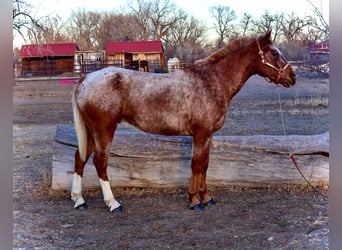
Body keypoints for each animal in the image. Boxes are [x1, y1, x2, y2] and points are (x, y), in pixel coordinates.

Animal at [71, 30, 296, 212]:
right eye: (274, 54)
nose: (292, 77)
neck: (212, 81)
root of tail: (86, 78)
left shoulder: (207, 136)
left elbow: (204, 164)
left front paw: (206, 198)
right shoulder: (201, 133)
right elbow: (196, 165)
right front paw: (194, 201)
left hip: (91, 131)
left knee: (79, 158)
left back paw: (79, 200)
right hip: (104, 131)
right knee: (100, 163)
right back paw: (113, 203)